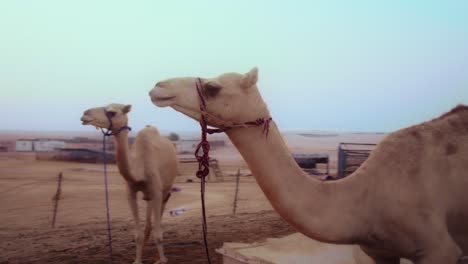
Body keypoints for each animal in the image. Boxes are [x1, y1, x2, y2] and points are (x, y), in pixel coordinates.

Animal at [80, 103, 177, 264]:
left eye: (112, 112)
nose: (85, 114)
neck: (140, 167)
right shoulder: (131, 192)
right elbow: (137, 234)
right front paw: (137, 259)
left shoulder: (157, 192)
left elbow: (158, 232)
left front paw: (162, 260)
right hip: (149, 195)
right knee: (149, 220)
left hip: (165, 190)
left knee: (159, 215)